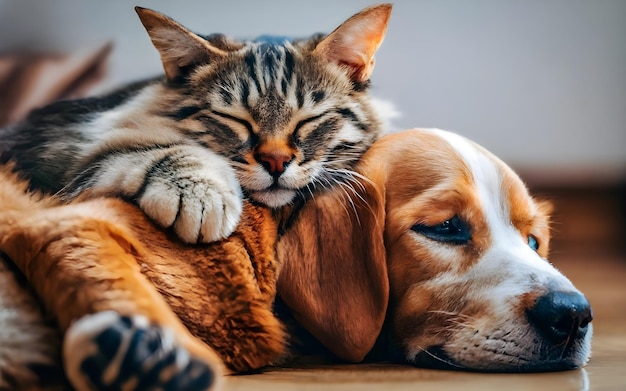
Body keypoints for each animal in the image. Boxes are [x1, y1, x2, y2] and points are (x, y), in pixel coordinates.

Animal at [0, 4, 390, 245]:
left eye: (309, 119)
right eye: (235, 119)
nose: (276, 163)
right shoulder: (67, 154)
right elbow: (163, 151)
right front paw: (203, 197)